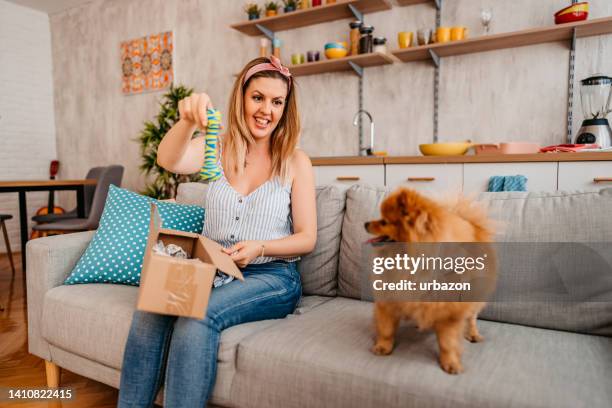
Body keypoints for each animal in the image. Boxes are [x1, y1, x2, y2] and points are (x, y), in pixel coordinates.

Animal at [366, 188, 494, 372]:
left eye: (384, 222)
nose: (365, 223)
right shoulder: (388, 299)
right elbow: (386, 328)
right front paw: (383, 347)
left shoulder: (449, 310)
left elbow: (447, 342)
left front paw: (450, 363)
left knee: (471, 317)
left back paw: (473, 334)